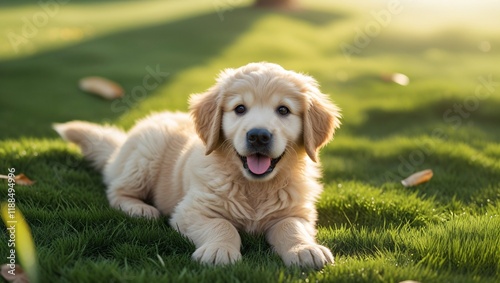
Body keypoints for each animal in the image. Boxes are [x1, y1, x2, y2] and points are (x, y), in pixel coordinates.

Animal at [55, 61, 344, 268]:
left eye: (283, 110)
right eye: (240, 109)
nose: (258, 136)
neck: (254, 187)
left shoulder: (298, 213)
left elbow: (290, 227)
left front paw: (304, 249)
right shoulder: (191, 211)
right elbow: (223, 225)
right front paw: (219, 250)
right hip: (145, 155)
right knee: (116, 190)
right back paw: (140, 209)